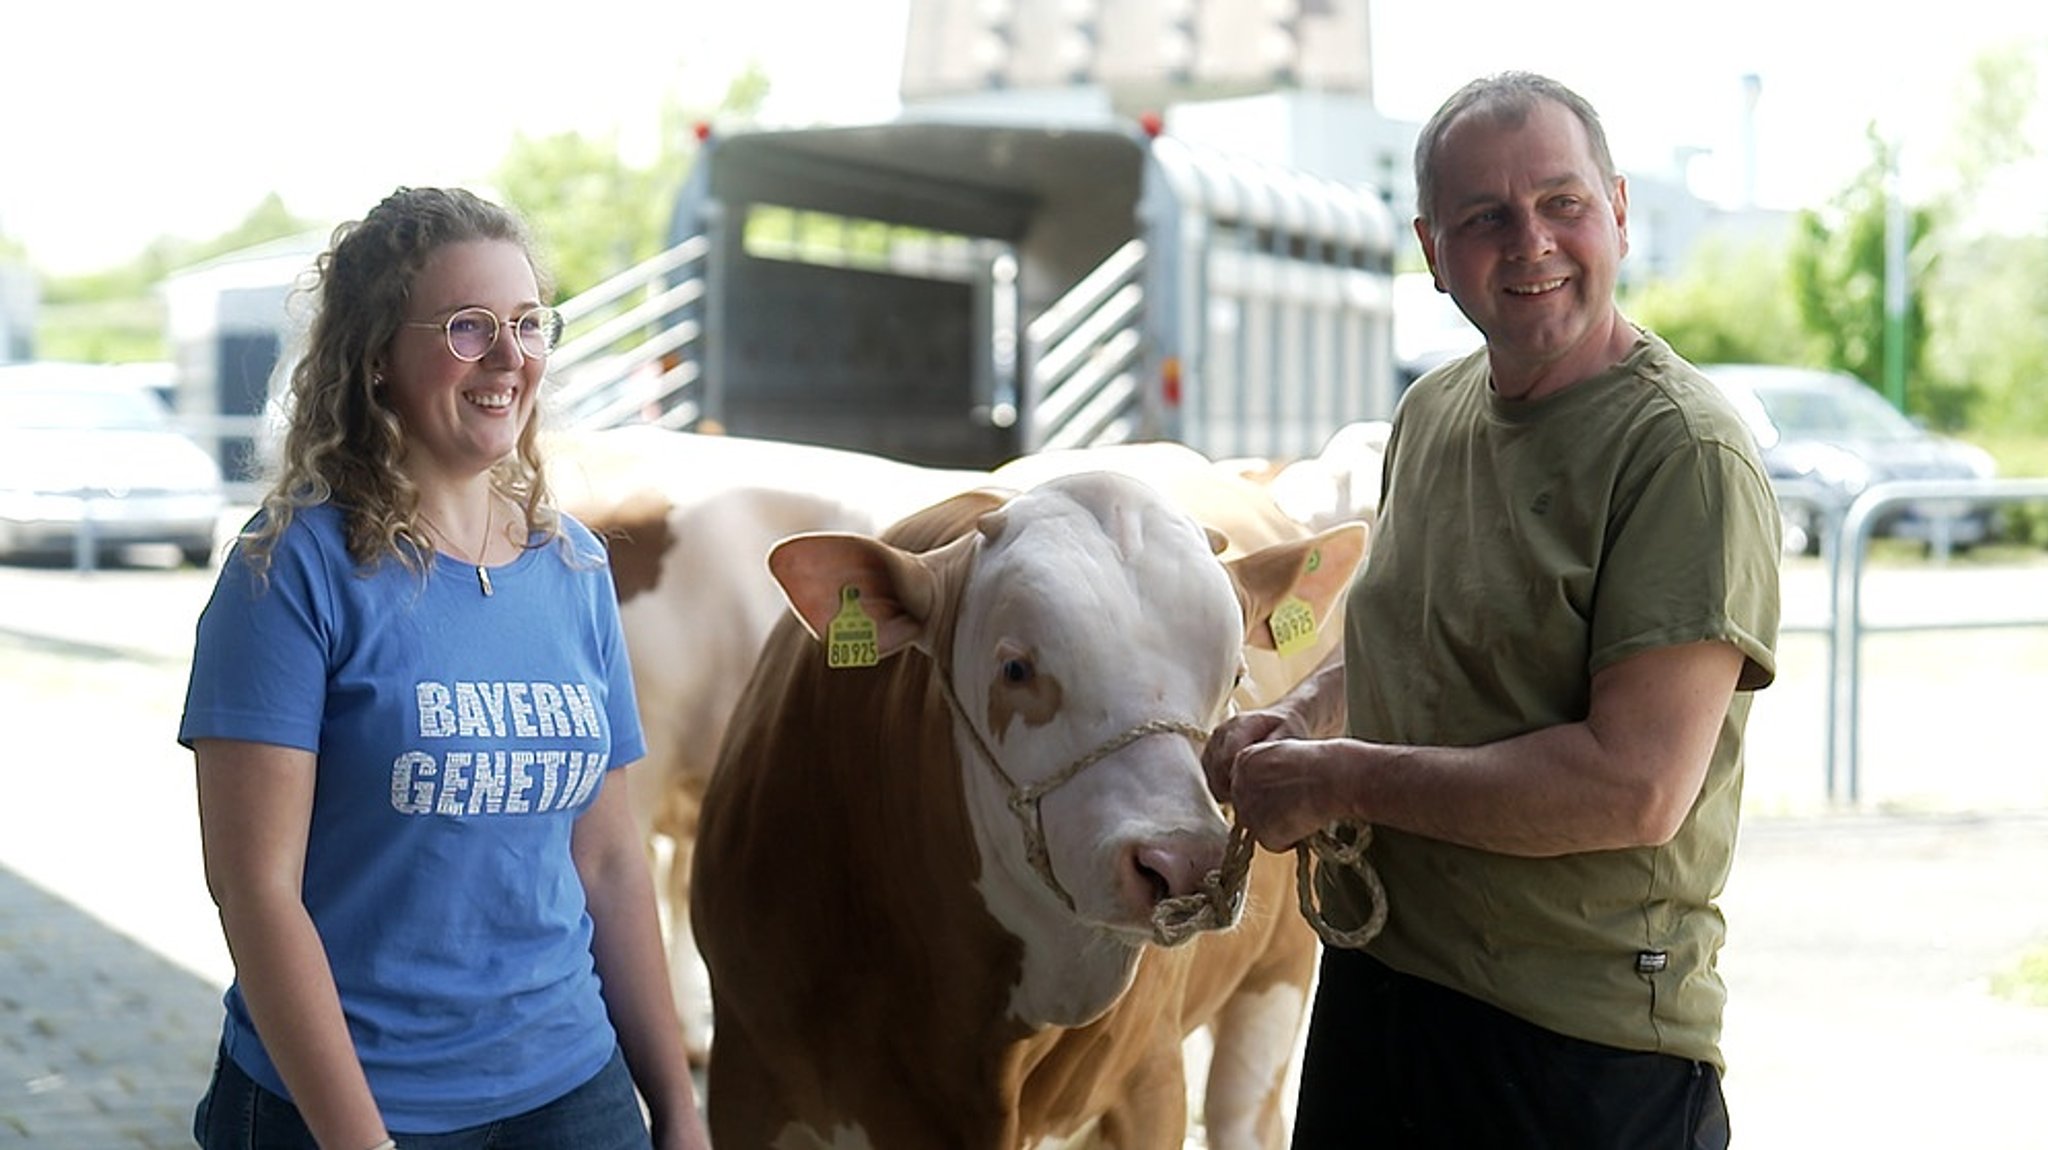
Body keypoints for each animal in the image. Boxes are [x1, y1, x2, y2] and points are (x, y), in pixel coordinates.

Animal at [696, 468, 1368, 1145]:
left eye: (1234, 676)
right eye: (1016, 669)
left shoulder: (1151, 1083)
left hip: (1275, 982)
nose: (1183, 863)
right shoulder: (744, 1087)